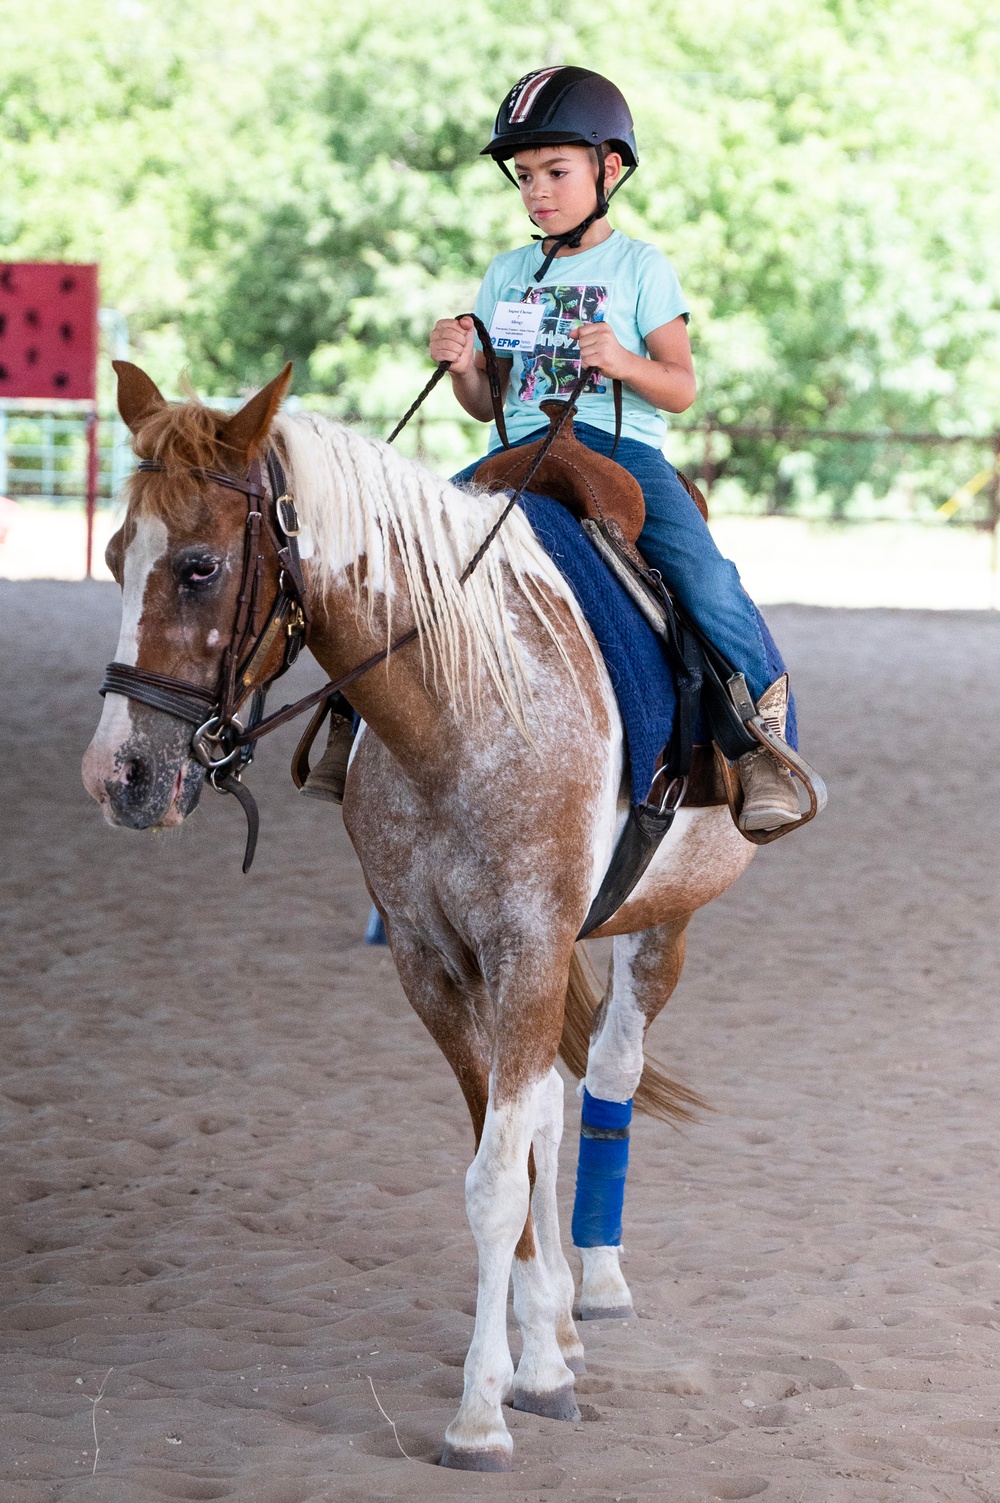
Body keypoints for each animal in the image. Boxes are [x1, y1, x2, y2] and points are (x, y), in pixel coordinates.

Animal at [85, 363, 757, 1466]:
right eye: (112, 558)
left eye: (195, 567)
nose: (119, 775)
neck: (463, 703)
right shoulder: (432, 962)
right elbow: (500, 1154)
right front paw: (534, 1362)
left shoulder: (530, 945)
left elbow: (498, 1178)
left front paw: (486, 1412)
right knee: (549, 1110)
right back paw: (559, 1319)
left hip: (659, 924)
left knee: (610, 1073)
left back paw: (600, 1283)